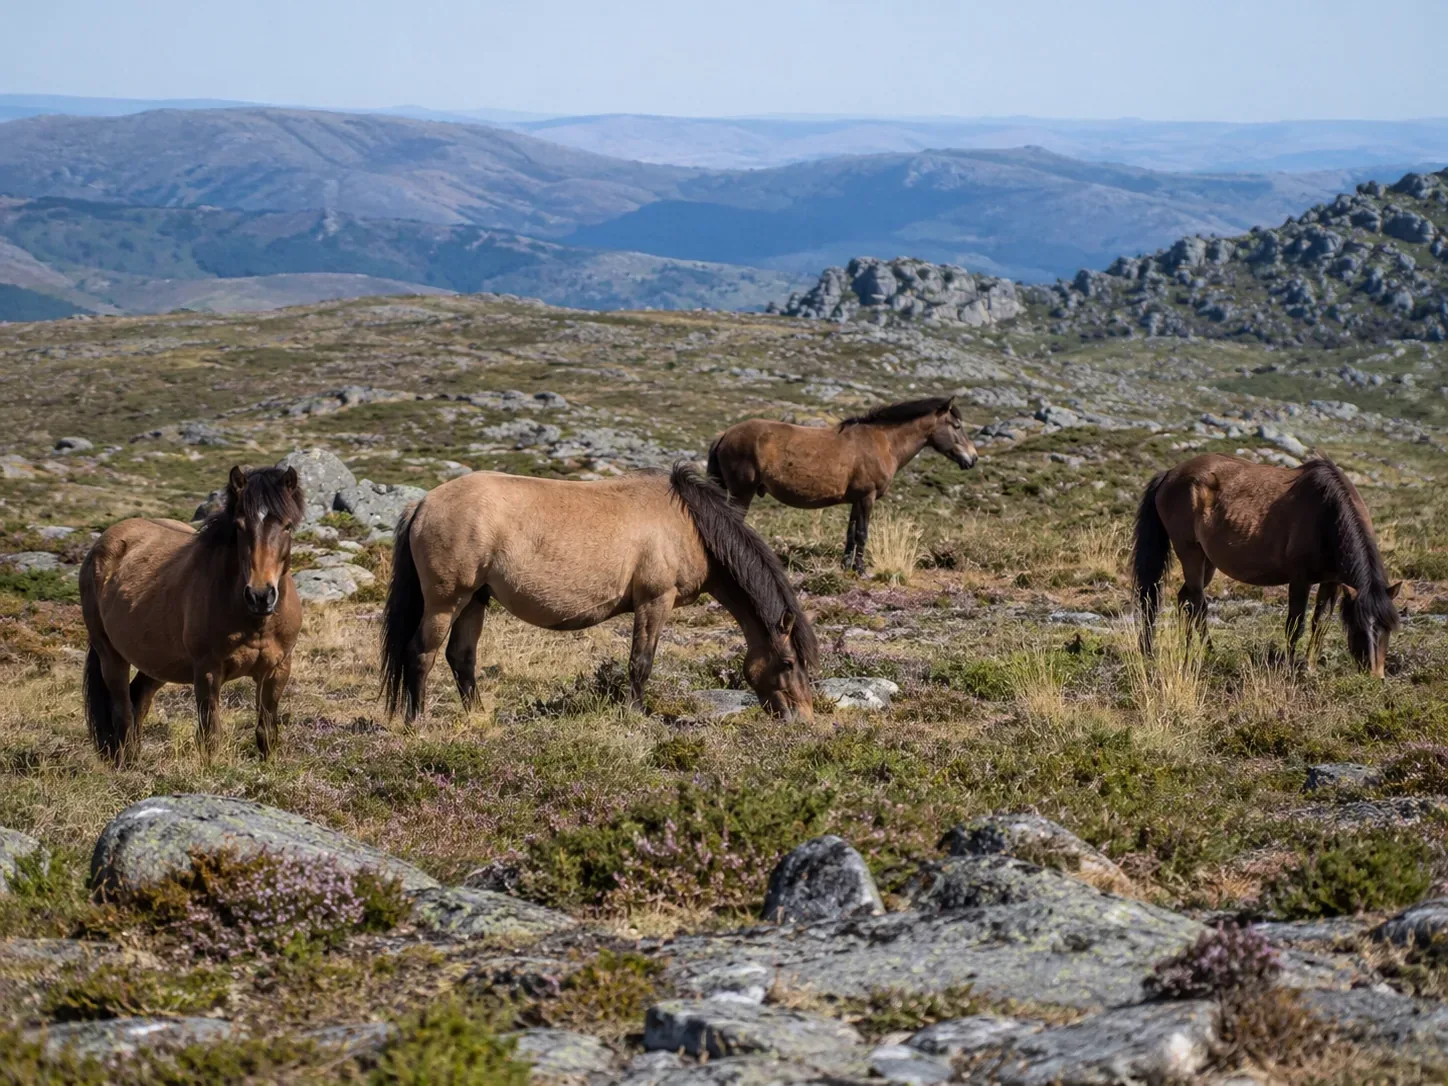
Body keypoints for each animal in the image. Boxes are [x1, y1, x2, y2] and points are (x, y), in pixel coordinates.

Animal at [79, 466, 305, 766]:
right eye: (239, 526)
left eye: (287, 526)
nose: (260, 595)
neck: (255, 621)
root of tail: (101, 544)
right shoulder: (207, 672)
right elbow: (210, 736)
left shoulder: (277, 670)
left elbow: (266, 732)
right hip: (111, 655)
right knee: (123, 710)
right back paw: (125, 764)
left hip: (159, 661)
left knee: (139, 697)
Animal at [380, 464, 818, 724]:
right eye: (789, 663)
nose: (804, 718)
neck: (690, 524)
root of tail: (422, 504)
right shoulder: (655, 601)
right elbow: (641, 662)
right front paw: (637, 716)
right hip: (446, 601)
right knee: (420, 654)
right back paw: (416, 722)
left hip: (475, 599)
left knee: (462, 658)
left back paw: (479, 719)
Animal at [706, 396, 978, 573]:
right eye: (957, 426)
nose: (973, 458)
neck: (883, 442)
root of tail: (724, 435)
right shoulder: (867, 497)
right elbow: (862, 533)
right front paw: (861, 570)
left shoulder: (857, 500)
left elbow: (851, 533)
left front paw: (846, 567)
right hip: (742, 492)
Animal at [1132, 453, 1401, 675]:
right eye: (1359, 626)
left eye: (1388, 627)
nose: (1376, 675)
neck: (1326, 515)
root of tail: (1169, 474)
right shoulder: (1300, 580)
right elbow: (1296, 625)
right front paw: (1289, 668)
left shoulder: (1332, 582)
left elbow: (1320, 623)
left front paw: (1311, 666)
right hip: (1190, 554)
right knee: (1198, 605)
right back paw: (1209, 652)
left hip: (1206, 562)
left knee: (1185, 599)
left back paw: (1186, 649)